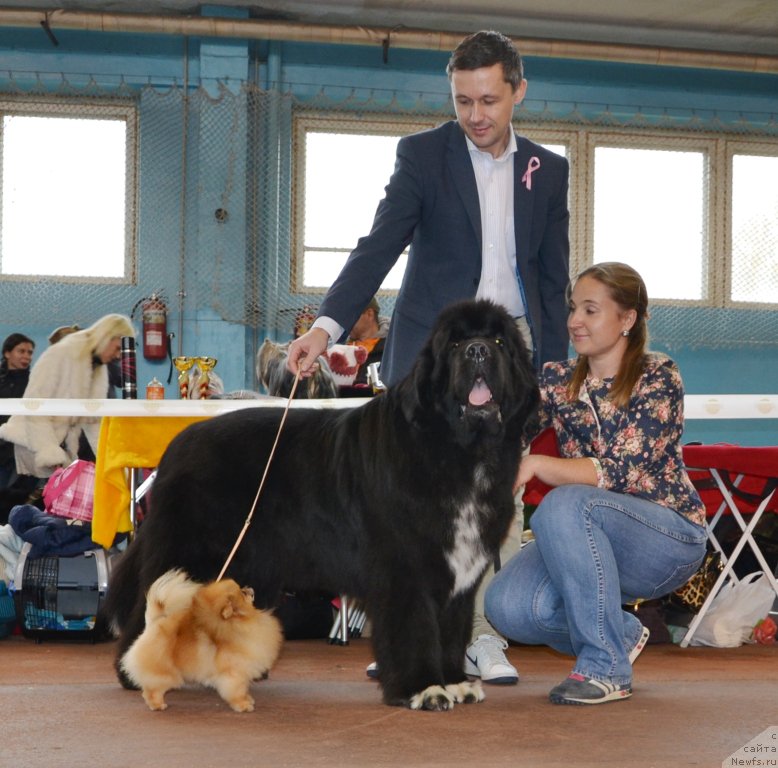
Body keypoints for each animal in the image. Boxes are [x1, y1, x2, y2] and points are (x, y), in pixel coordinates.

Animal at [118, 568, 282, 712]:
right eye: (243, 593)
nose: (249, 588)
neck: (239, 623)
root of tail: (154, 623)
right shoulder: (233, 674)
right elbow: (237, 691)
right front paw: (243, 705)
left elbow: (244, 689)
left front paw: (248, 700)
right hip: (166, 674)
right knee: (151, 690)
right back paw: (157, 705)